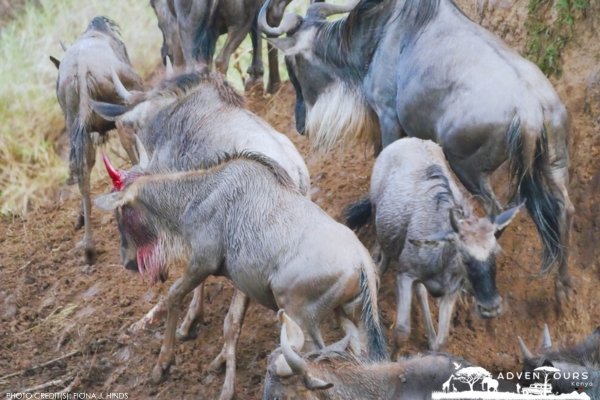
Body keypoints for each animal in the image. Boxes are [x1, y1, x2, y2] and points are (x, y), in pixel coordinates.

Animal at [344, 139, 524, 354]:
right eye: (464, 257)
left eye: (495, 252)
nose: (491, 307)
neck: (442, 259)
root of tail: (403, 141)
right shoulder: (405, 275)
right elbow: (402, 331)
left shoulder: (451, 291)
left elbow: (442, 340)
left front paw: (431, 345)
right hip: (377, 219)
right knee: (380, 256)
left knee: (421, 291)